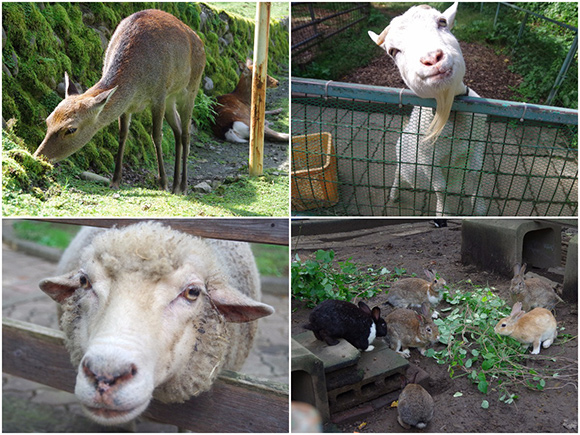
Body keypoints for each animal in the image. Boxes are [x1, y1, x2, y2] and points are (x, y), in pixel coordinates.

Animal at [33, 9, 206, 194]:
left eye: (71, 129)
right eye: (48, 120)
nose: (38, 157)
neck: (137, 82)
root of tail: (199, 39)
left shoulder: (159, 95)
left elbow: (156, 136)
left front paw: (162, 183)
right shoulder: (127, 105)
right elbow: (123, 135)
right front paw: (115, 180)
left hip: (190, 89)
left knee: (186, 133)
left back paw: (183, 186)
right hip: (170, 99)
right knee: (178, 130)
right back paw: (176, 186)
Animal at [370, 1, 488, 216]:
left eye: (442, 22)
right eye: (393, 51)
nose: (432, 58)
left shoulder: (477, 145)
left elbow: (476, 174)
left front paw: (480, 208)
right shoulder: (426, 158)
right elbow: (440, 187)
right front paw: (443, 212)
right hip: (403, 154)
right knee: (399, 171)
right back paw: (394, 194)